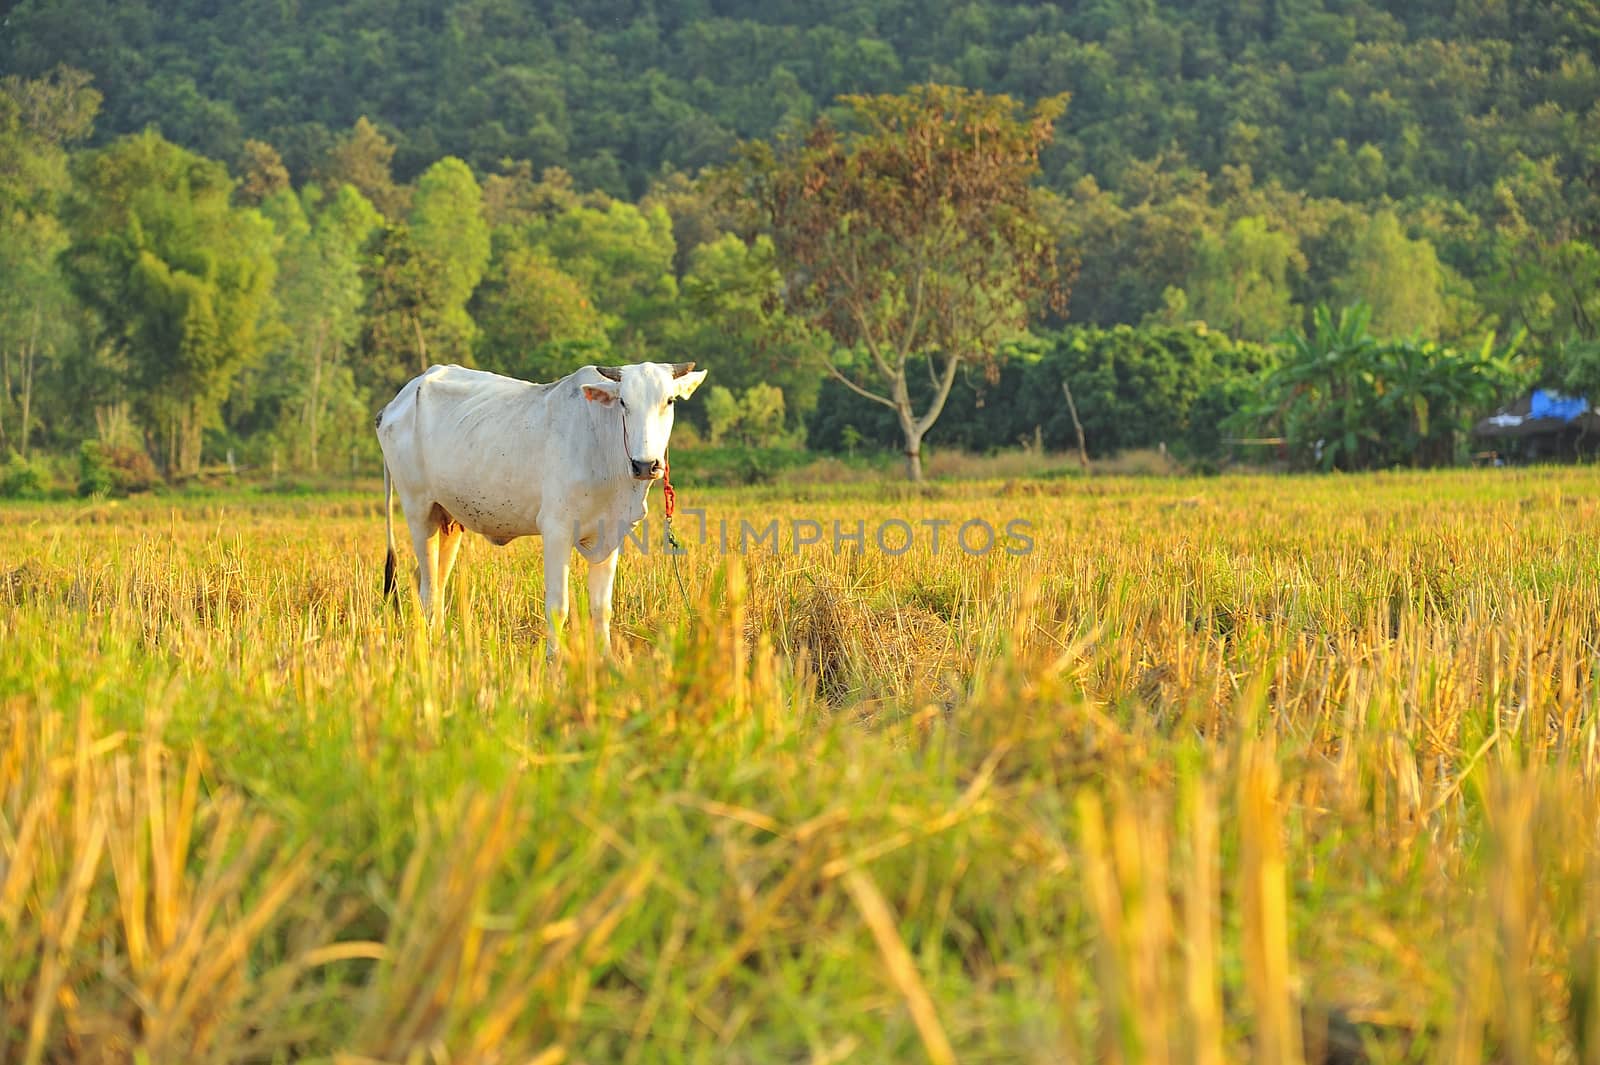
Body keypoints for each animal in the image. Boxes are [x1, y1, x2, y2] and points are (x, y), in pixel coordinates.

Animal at [374, 358, 707, 655]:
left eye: (670, 400)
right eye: (623, 402)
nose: (645, 465)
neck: (603, 445)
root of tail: (395, 403)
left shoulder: (611, 532)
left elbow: (601, 608)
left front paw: (606, 661)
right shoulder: (556, 530)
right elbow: (558, 607)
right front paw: (554, 662)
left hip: (449, 520)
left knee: (433, 582)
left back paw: (439, 644)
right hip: (419, 510)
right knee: (428, 588)